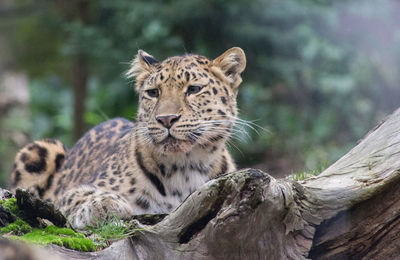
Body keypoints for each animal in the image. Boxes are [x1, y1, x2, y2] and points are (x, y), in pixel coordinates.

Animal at [7, 47, 247, 230]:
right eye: (153, 92)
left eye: (194, 89)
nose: (166, 119)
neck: (186, 167)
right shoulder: (70, 191)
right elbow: (78, 195)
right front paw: (104, 204)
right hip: (40, 149)